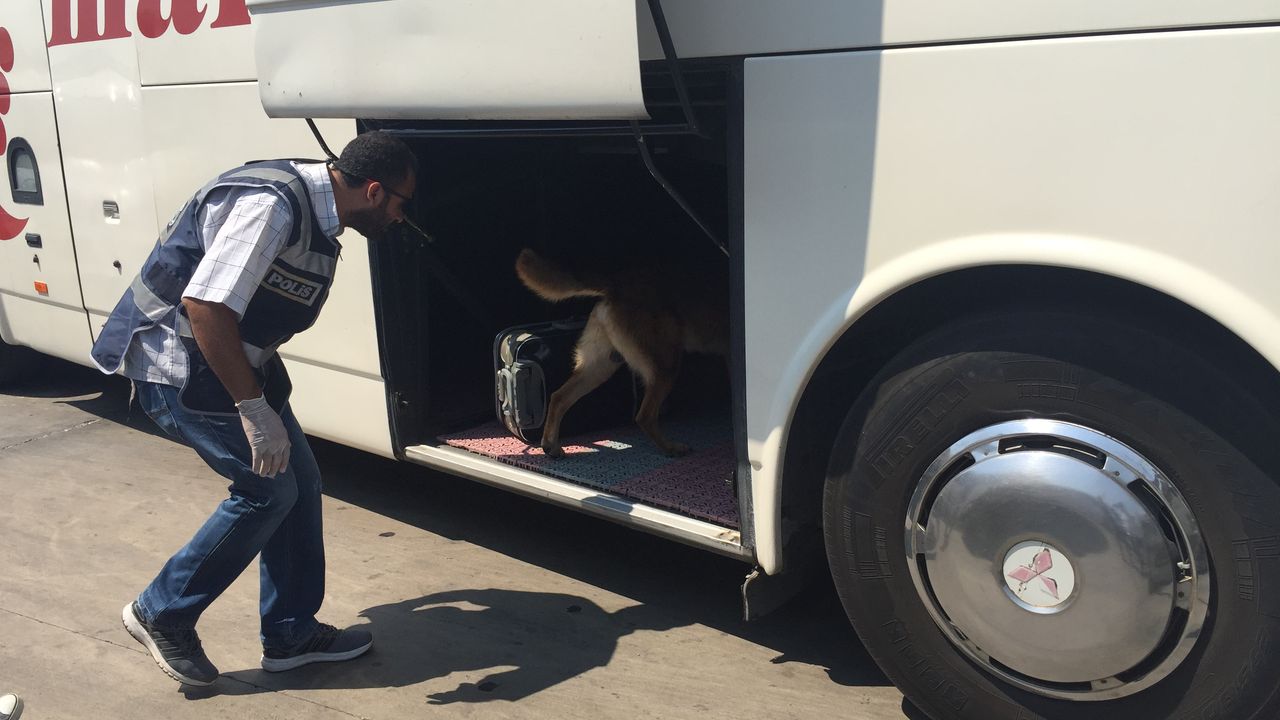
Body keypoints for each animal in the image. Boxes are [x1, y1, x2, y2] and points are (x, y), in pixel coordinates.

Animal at [514, 248, 729, 458]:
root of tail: (615, 284)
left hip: (599, 367)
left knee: (559, 397)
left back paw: (551, 446)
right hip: (665, 365)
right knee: (645, 416)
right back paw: (671, 448)